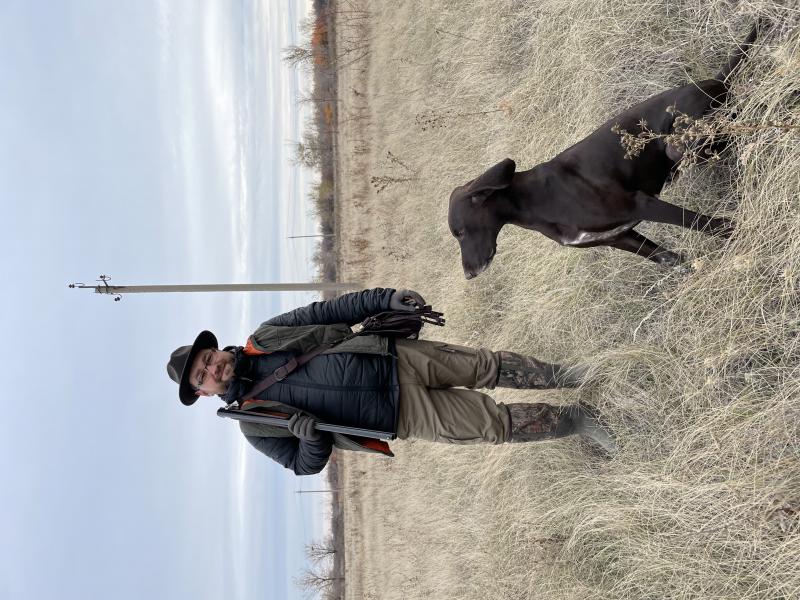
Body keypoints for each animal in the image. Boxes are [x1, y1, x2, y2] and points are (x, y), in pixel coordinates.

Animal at [448, 24, 759, 279]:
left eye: (460, 232)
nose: (468, 274)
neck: (538, 200)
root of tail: (716, 81)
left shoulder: (641, 204)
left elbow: (707, 224)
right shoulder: (619, 238)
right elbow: (667, 258)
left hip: (682, 144)